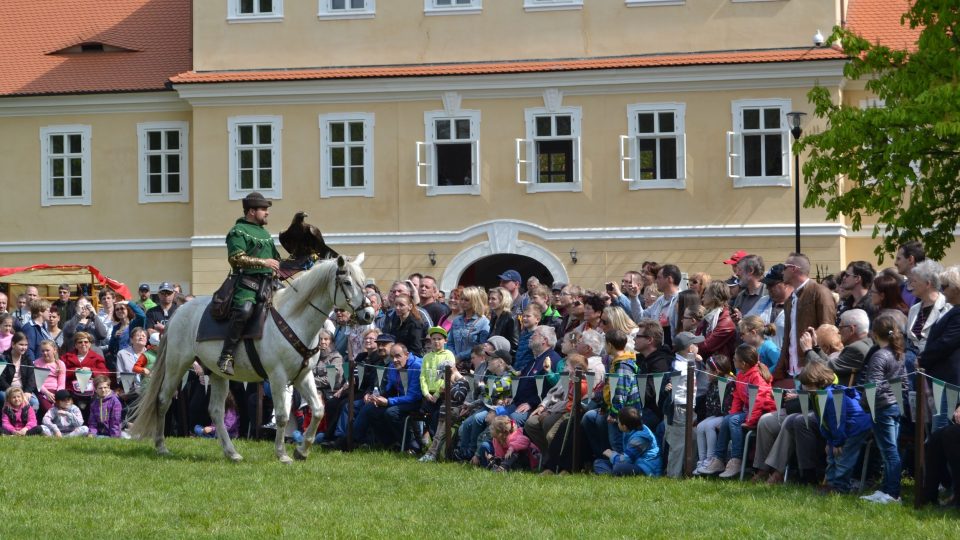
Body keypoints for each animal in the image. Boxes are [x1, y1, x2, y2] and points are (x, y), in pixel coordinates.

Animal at [124, 255, 372, 462]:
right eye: (347, 282)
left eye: (363, 282)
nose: (368, 314)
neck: (294, 319)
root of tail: (178, 311)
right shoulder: (278, 376)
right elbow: (282, 415)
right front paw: (282, 454)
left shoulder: (303, 375)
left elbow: (318, 410)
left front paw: (301, 451)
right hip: (177, 365)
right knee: (163, 400)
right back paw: (161, 446)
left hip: (216, 373)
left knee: (216, 411)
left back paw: (231, 452)